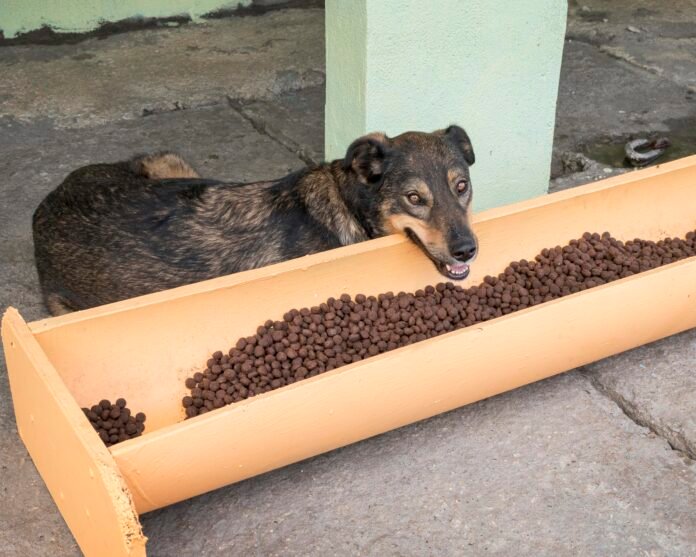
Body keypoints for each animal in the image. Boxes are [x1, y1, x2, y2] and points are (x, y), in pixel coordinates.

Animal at [32, 127, 478, 318]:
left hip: (173, 164)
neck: (348, 205)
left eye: (462, 186)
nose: (467, 249)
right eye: (414, 199)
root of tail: (44, 207)